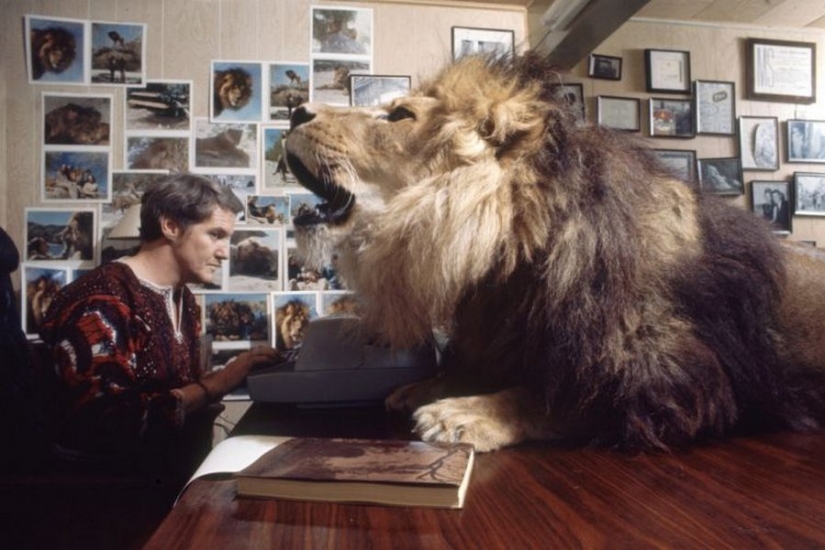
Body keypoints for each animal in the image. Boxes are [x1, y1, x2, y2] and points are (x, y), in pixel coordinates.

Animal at [283, 53, 825, 453]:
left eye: (398, 115)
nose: (295, 111)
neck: (511, 252)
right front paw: (424, 387)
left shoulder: (676, 380)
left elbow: (552, 397)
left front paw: (466, 411)